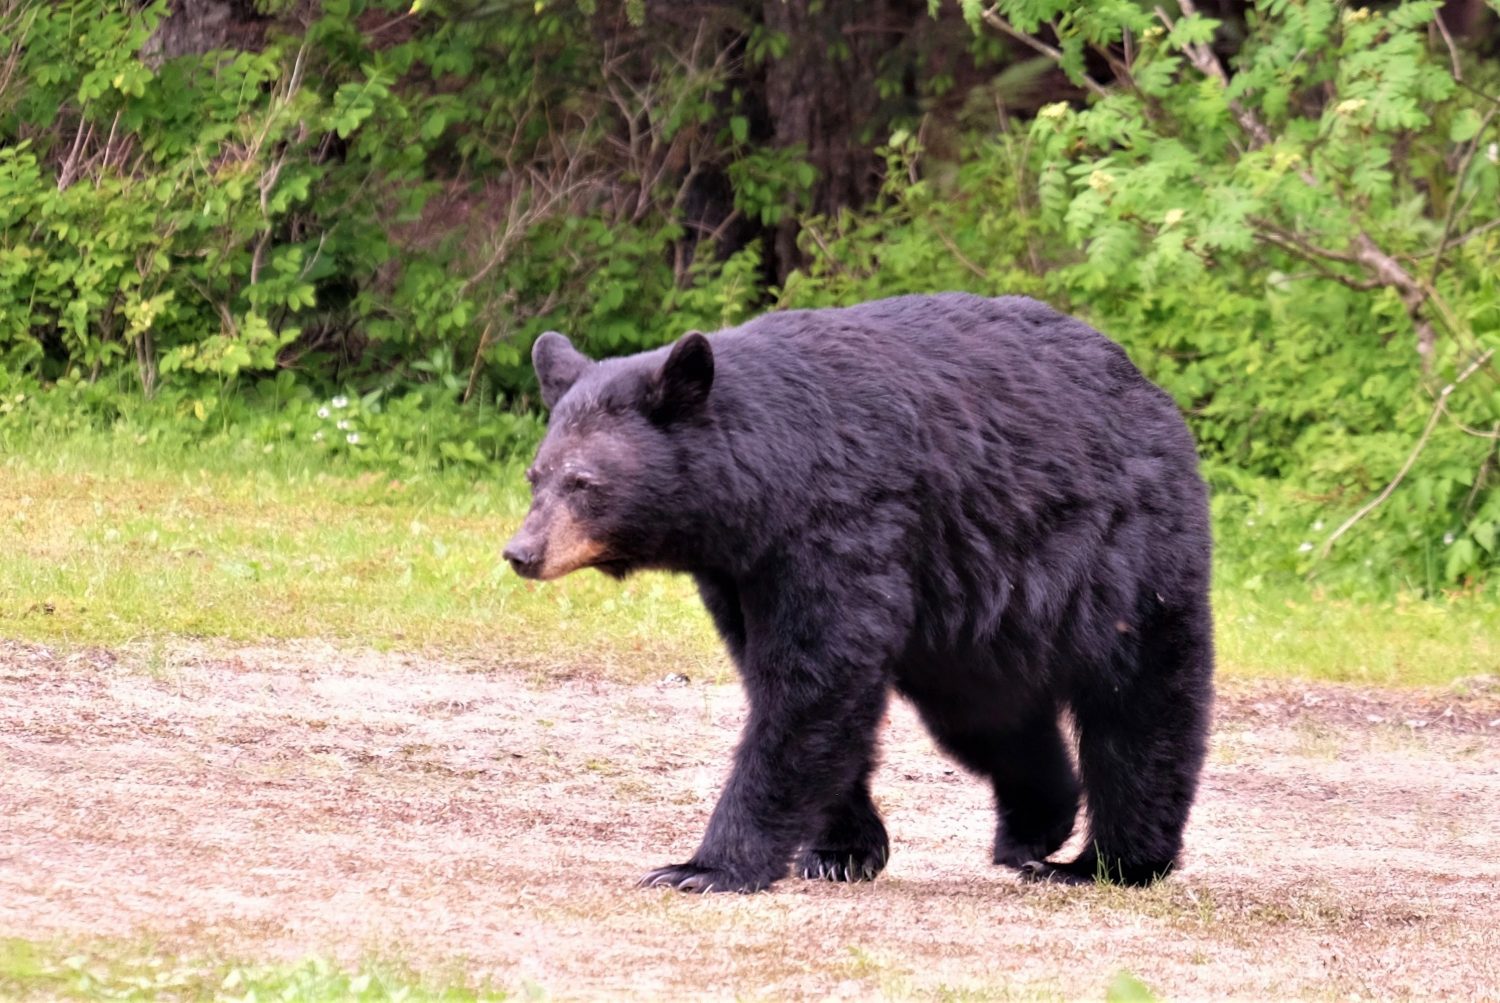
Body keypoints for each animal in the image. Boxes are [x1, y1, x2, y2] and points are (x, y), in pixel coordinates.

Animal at [503, 293, 1213, 893]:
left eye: (584, 482)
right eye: (536, 474)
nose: (521, 552)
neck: (766, 486)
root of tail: (1150, 390)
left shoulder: (841, 523)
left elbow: (816, 678)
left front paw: (702, 867)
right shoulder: (743, 571)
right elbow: (788, 681)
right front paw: (841, 851)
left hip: (1122, 554)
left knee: (1141, 702)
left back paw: (1111, 861)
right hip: (972, 619)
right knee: (987, 716)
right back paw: (1034, 827)